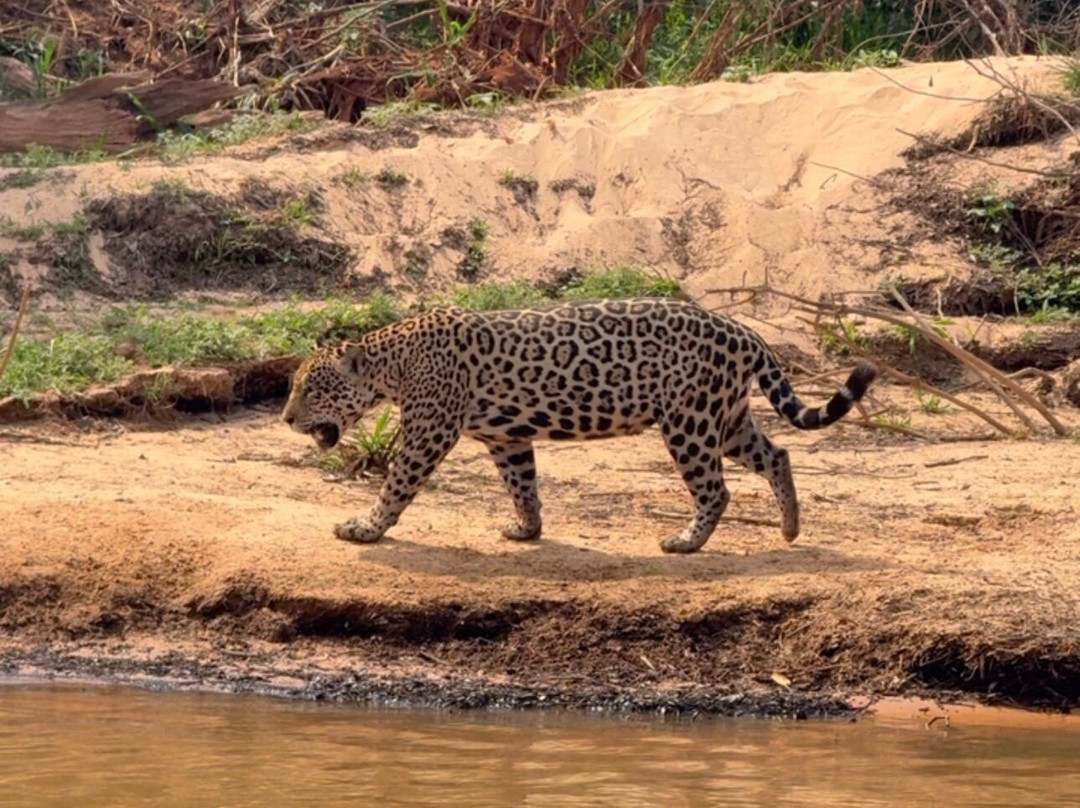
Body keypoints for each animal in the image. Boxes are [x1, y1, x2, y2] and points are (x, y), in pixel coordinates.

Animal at [282, 298, 876, 554]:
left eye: (311, 388)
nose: (286, 418)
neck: (394, 362)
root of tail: (745, 330)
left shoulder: (428, 432)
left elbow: (397, 485)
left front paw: (365, 528)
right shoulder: (506, 436)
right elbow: (522, 485)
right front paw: (527, 529)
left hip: (688, 422)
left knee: (716, 489)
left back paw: (686, 541)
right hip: (724, 418)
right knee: (777, 454)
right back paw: (790, 527)